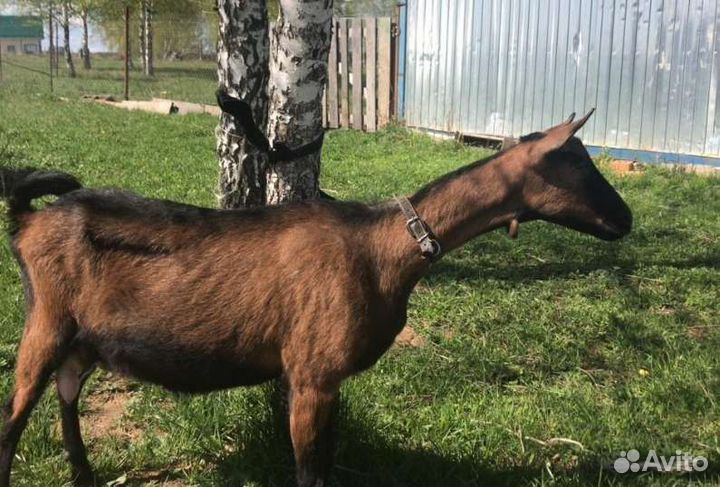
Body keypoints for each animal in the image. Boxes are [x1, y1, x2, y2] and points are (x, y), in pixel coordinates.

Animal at [0, 110, 631, 487]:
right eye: (574, 162)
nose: (624, 219)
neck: (382, 248)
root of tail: (26, 221)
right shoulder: (311, 373)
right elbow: (309, 471)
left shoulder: (328, 382)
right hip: (45, 320)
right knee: (13, 419)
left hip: (84, 339)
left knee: (67, 398)